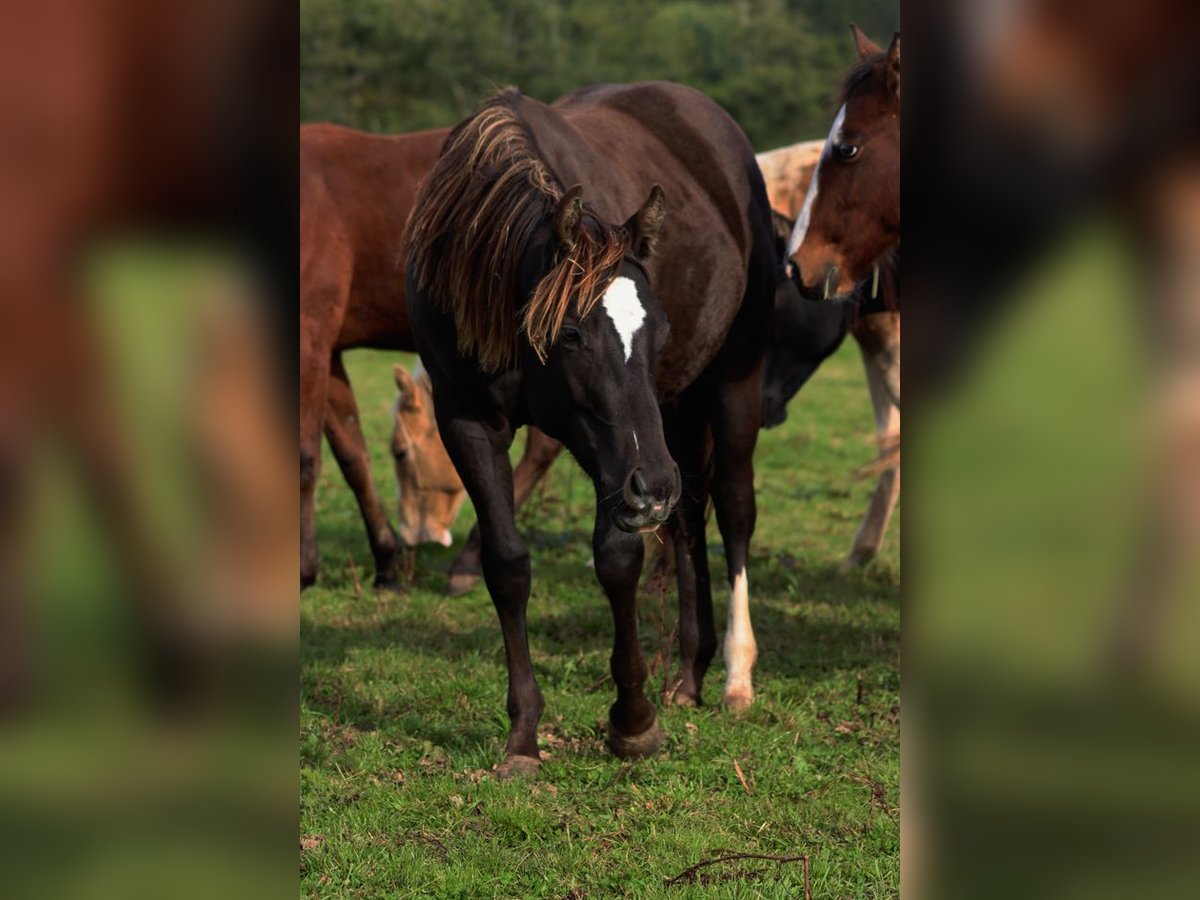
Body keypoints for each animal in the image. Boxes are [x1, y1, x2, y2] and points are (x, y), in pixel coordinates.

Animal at [406, 83, 777, 775]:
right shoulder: (466, 420)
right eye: (573, 334)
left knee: (735, 509)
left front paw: (632, 721)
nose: (651, 486)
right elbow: (508, 564)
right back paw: (689, 672)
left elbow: (618, 559)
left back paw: (736, 675)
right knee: (688, 518)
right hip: (673, 415)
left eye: (659, 327)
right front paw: (523, 734)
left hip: (728, 384)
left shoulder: (614, 453)